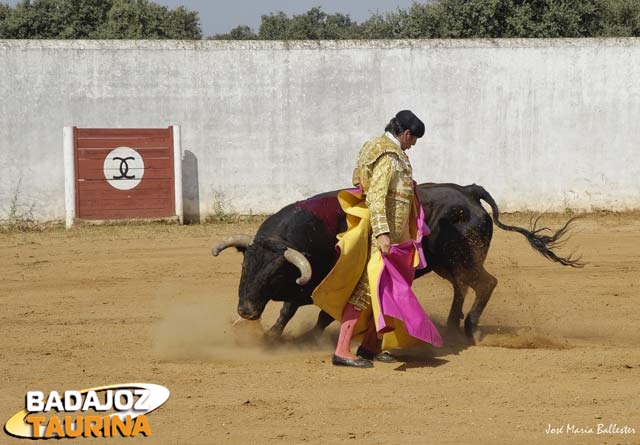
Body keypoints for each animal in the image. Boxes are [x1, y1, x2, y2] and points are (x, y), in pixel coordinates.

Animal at [212, 183, 584, 340]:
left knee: (485, 283)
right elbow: (289, 311)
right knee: (462, 287)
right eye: (246, 268)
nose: (246, 310)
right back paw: (452, 325)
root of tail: (468, 191)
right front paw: (271, 334)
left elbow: (319, 316)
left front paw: (304, 338)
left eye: (275, 275)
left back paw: (470, 327)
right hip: (449, 264)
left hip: (465, 258)